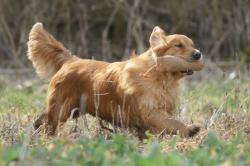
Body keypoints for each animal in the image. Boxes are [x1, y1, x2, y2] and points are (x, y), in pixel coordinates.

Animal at [27, 23, 203, 137]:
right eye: (178, 45)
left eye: (192, 44)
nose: (198, 54)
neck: (160, 77)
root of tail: (71, 60)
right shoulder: (149, 111)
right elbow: (172, 123)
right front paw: (189, 129)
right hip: (61, 109)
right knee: (48, 124)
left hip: (72, 110)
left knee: (40, 121)